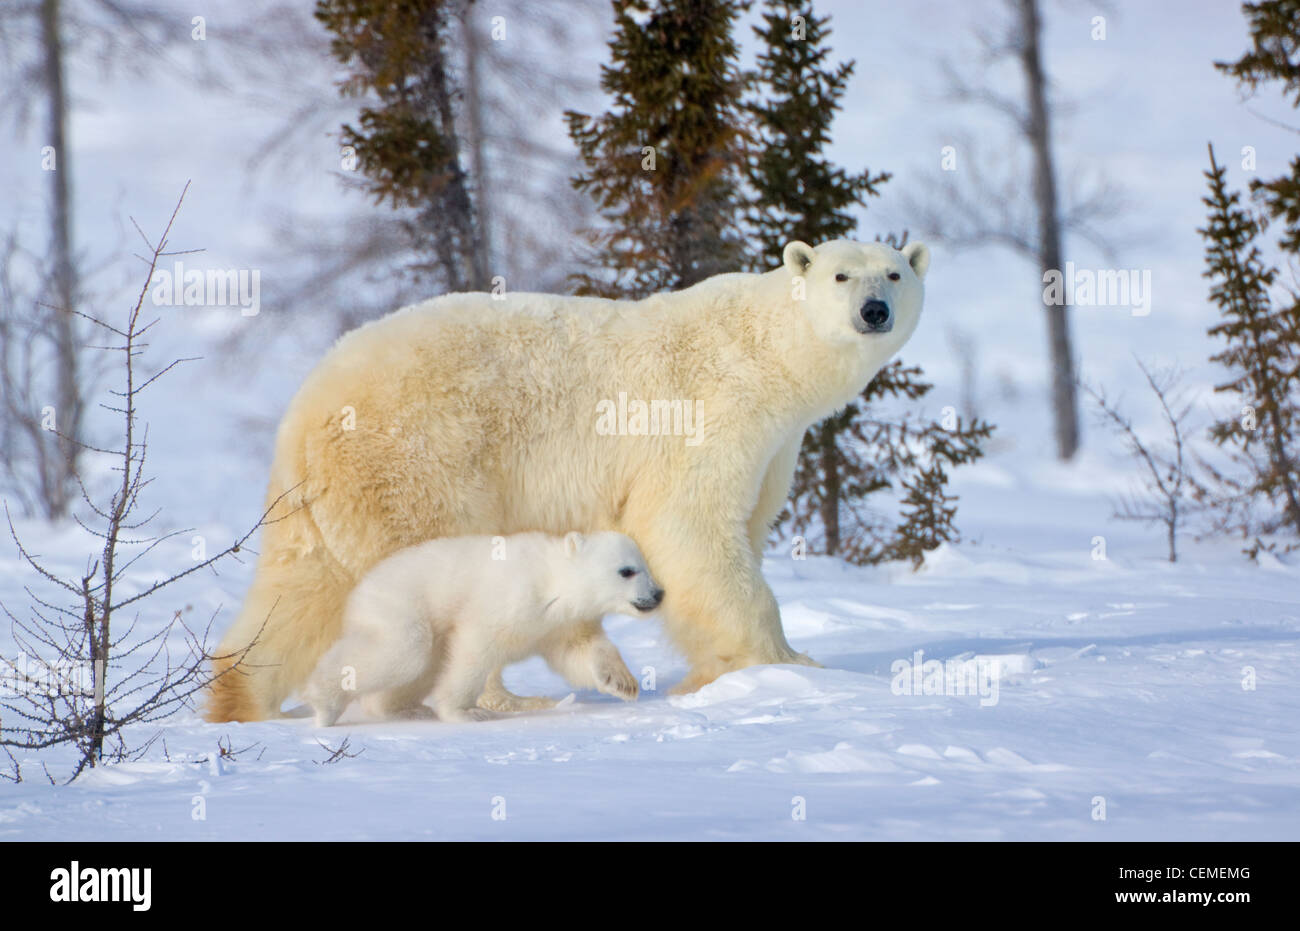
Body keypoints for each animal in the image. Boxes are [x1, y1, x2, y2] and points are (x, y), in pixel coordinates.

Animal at [205, 237, 925, 717]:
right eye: (840, 274)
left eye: (894, 271)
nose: (874, 310)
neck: (764, 354)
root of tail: (307, 409)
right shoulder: (711, 416)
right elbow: (690, 528)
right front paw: (785, 664)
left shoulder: (776, 448)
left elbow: (741, 526)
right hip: (420, 459)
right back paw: (497, 700)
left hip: (318, 499)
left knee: (298, 589)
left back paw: (241, 697)